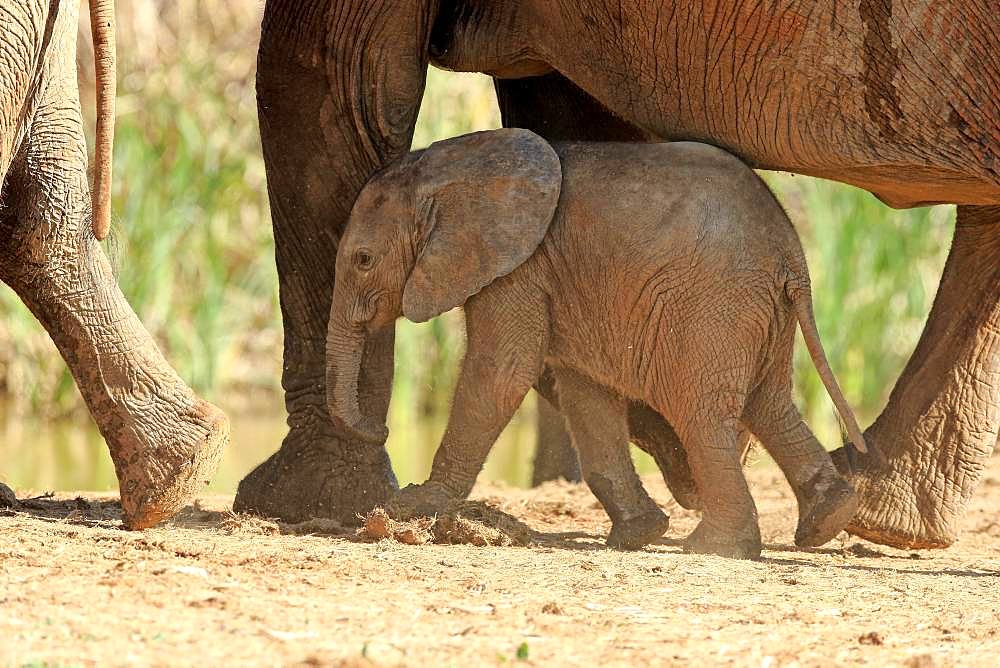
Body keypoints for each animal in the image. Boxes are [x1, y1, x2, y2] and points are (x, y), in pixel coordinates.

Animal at [326, 126, 868, 560]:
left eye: (363, 260)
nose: (379, 429)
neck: (451, 165)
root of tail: (791, 254)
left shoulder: (518, 265)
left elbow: (503, 371)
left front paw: (414, 505)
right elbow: (585, 392)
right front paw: (638, 534)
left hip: (717, 305)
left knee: (704, 413)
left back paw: (716, 548)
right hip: (760, 310)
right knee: (769, 402)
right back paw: (828, 519)